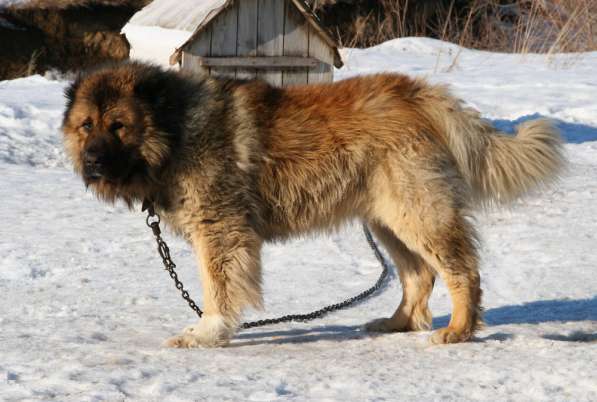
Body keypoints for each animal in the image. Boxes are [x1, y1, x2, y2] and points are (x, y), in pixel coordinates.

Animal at [61, 61, 564, 348]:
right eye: (87, 125)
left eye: (119, 125)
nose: (92, 161)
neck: (176, 129)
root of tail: (419, 92)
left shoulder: (220, 229)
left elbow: (216, 288)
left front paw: (207, 332)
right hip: (387, 220)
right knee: (418, 275)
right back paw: (397, 323)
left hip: (418, 213)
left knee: (462, 272)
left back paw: (459, 331)